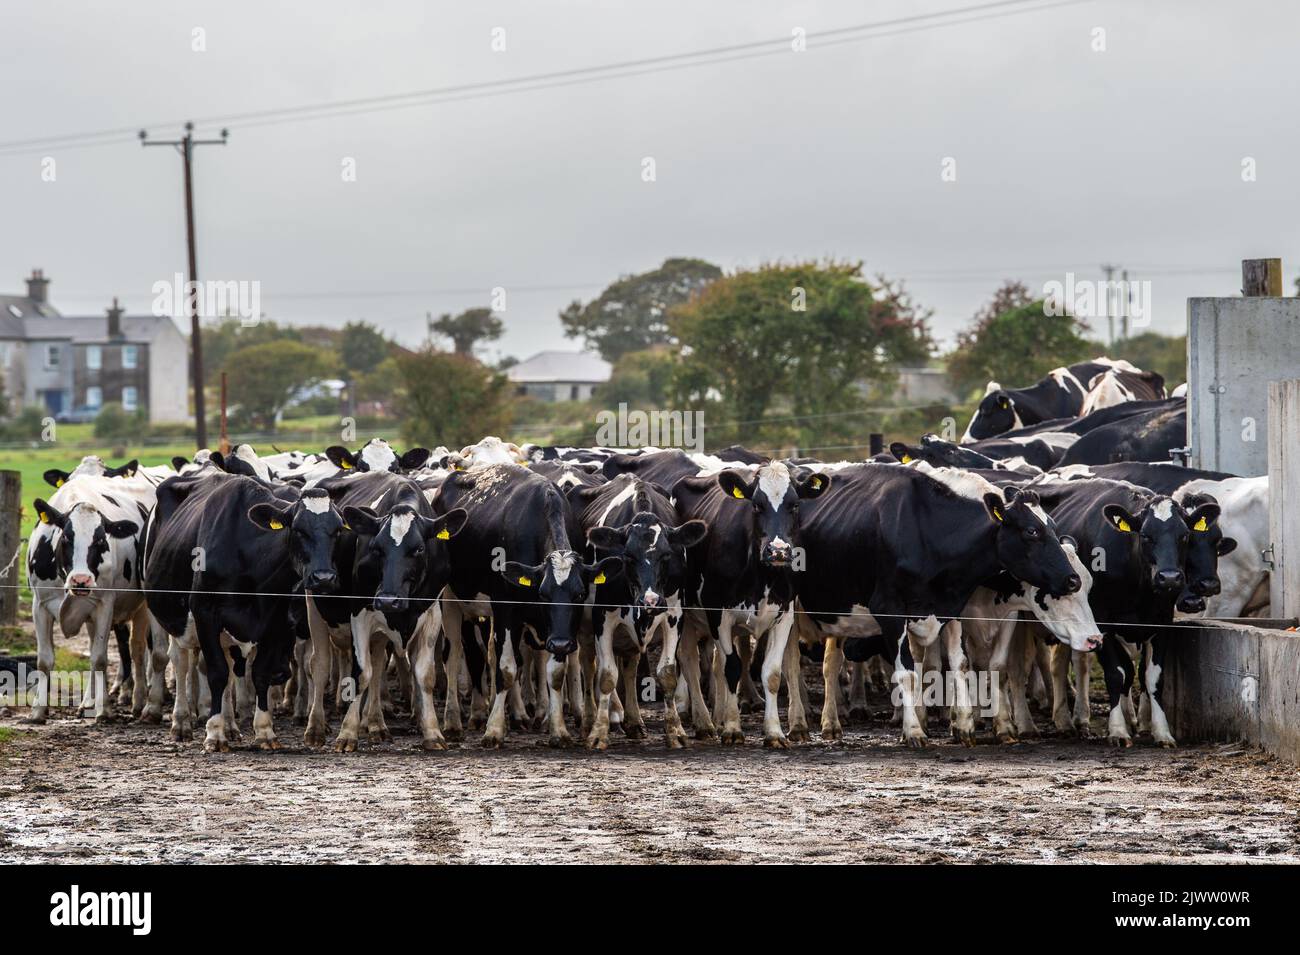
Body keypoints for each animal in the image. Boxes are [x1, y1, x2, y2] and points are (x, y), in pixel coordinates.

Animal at [144, 475, 348, 748]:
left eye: (337, 530)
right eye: (298, 529)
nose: (324, 578)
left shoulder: (276, 620)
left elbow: (258, 673)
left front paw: (264, 730)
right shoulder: (205, 613)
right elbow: (217, 673)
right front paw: (214, 733)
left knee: (231, 668)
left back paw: (231, 725)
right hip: (170, 617)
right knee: (180, 661)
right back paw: (181, 723)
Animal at [434, 467, 621, 748]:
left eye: (579, 594)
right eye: (543, 594)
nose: (561, 644)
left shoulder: (556, 630)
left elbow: (554, 673)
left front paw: (558, 730)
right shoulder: (505, 609)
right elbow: (506, 669)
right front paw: (494, 731)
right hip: (450, 598)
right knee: (454, 654)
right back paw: (455, 721)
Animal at [574, 475, 707, 748]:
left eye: (666, 555)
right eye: (627, 556)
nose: (650, 600)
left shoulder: (674, 615)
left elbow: (667, 673)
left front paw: (675, 732)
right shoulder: (603, 618)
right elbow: (606, 676)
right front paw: (598, 733)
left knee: (630, 665)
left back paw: (634, 721)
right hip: (584, 625)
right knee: (589, 664)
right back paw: (590, 721)